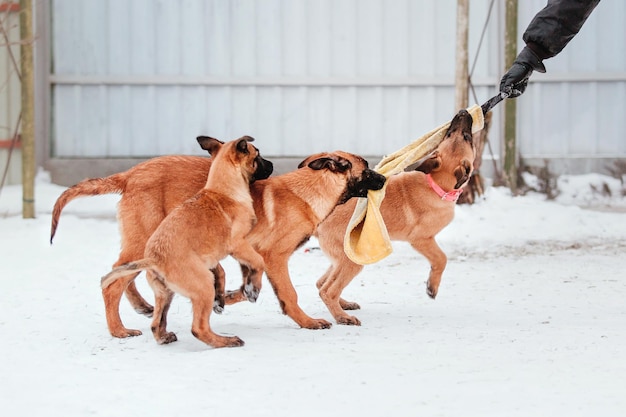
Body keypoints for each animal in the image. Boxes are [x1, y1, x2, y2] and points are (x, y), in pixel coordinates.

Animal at [50, 136, 272, 338]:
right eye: (257, 155)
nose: (271, 165)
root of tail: (130, 175)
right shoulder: (238, 245)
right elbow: (254, 267)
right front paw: (245, 291)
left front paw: (228, 294)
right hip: (144, 241)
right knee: (113, 284)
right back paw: (119, 330)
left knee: (119, 270)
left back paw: (143, 308)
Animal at [314, 108, 476, 324]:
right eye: (465, 137)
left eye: (457, 135)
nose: (462, 111)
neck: (436, 185)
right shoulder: (422, 240)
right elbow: (441, 258)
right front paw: (432, 287)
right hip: (352, 261)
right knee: (328, 290)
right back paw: (342, 317)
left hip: (341, 258)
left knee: (322, 283)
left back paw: (344, 305)